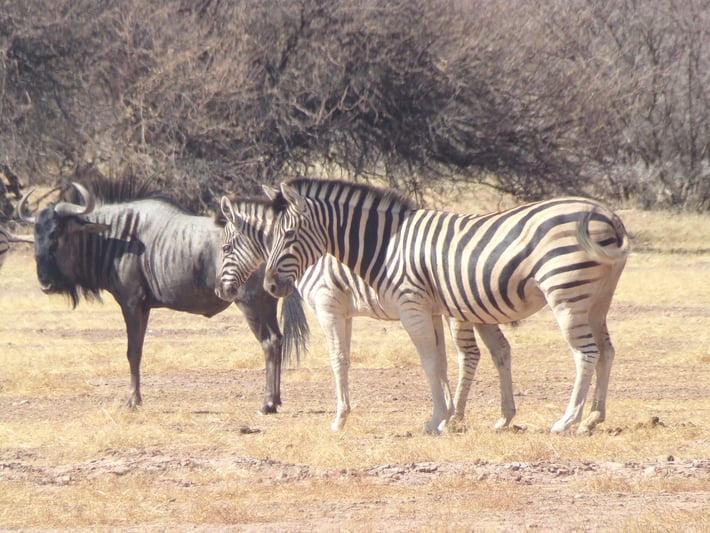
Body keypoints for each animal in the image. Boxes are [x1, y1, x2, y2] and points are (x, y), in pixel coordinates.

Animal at [216, 195, 515, 432]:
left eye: (225, 248)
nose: (220, 291)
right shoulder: (345, 312)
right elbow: (346, 358)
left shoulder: (328, 306)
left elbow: (338, 361)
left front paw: (340, 419)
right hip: (476, 308)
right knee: (499, 348)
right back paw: (497, 417)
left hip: (459, 310)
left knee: (469, 354)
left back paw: (458, 418)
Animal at [262, 179, 630, 434]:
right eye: (272, 235)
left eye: (289, 234)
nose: (269, 286)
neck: (385, 248)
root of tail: (608, 214)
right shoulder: (433, 309)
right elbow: (440, 362)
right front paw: (446, 417)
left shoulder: (406, 306)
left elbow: (422, 362)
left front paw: (434, 419)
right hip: (598, 298)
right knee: (607, 350)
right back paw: (593, 418)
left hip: (565, 292)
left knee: (585, 354)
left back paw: (567, 420)